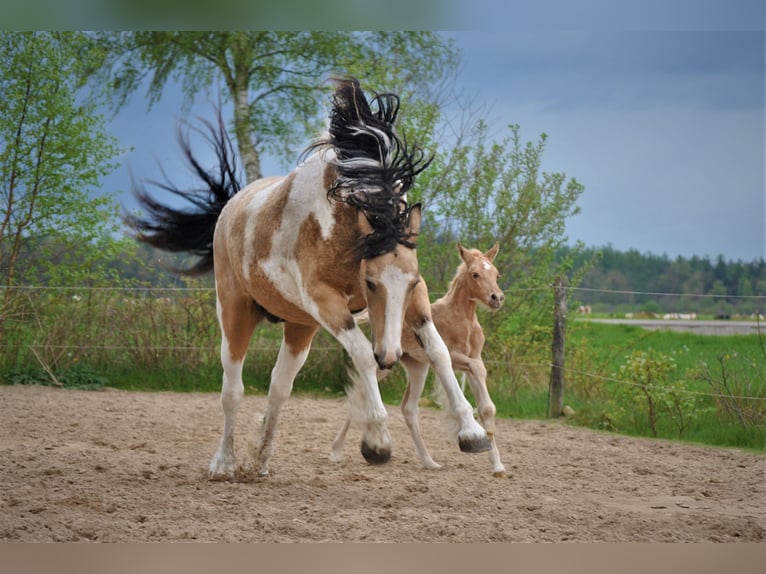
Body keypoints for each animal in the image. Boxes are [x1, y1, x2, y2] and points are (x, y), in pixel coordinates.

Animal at [330, 242, 508, 477]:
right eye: (475, 274)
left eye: (496, 274)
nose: (496, 298)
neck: (462, 319)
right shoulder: (455, 358)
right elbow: (477, 369)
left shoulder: (470, 357)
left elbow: (486, 406)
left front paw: (497, 466)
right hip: (386, 366)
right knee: (360, 393)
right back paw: (336, 450)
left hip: (418, 368)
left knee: (409, 409)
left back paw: (428, 461)